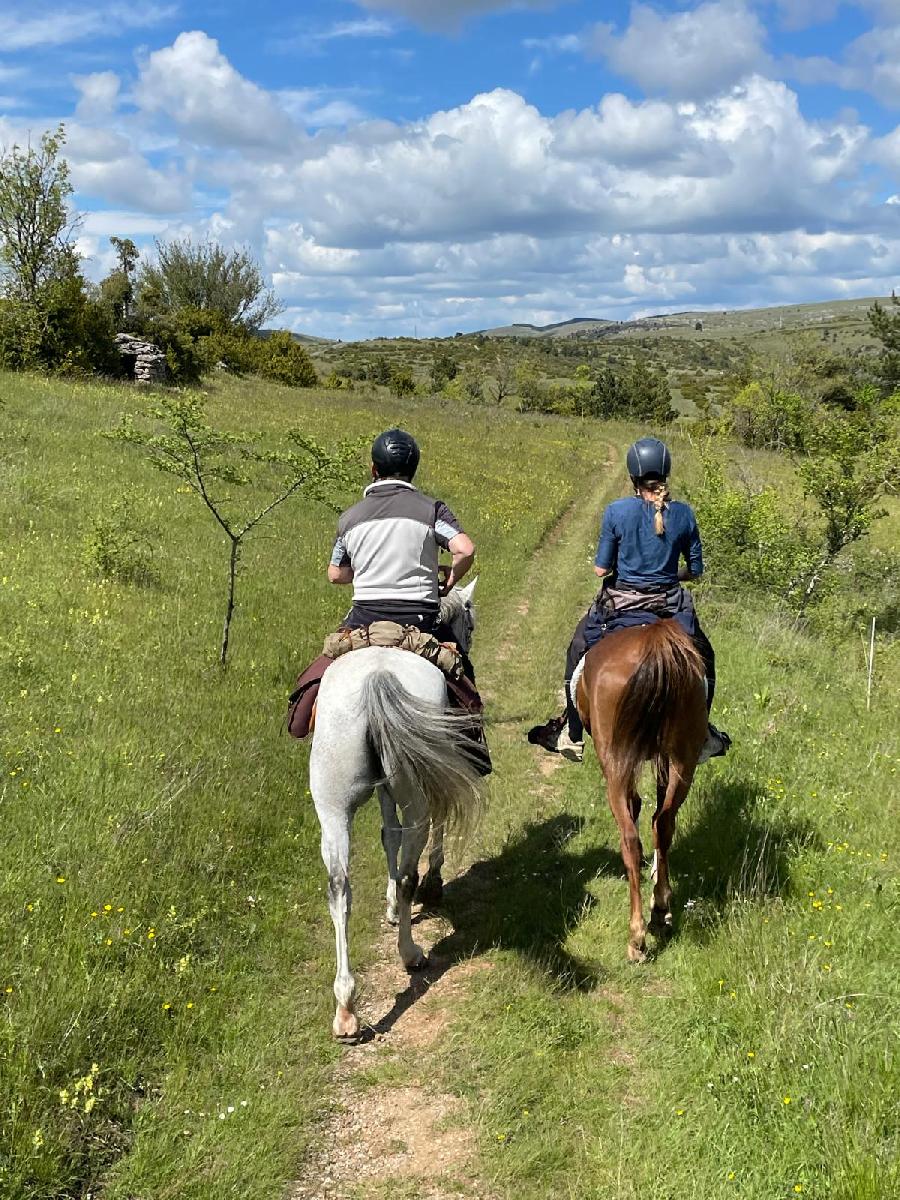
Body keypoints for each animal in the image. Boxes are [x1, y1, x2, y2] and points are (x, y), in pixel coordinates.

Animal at [309, 580, 487, 1041]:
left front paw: (388, 908)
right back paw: (409, 953)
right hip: (417, 794)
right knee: (410, 870)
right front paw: (433, 884)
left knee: (340, 889)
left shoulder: (386, 793)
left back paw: (346, 1008)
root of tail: (377, 678)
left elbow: (389, 836)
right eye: (471, 621)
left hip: (332, 807)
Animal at [578, 619, 710, 964]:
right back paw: (660, 910)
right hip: (683, 759)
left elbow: (635, 807)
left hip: (614, 762)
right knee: (663, 823)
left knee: (630, 837)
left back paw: (636, 938)